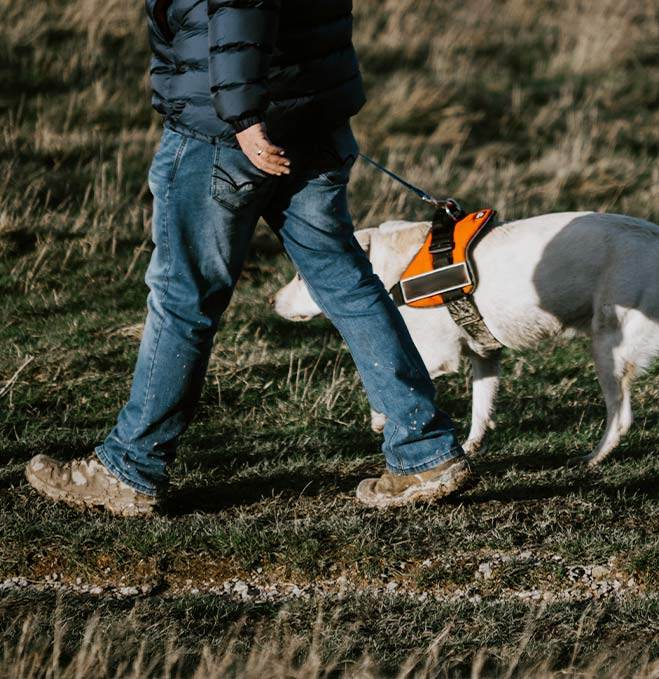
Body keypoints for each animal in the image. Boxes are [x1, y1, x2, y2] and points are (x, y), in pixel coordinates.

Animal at [274, 212, 659, 468]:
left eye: (300, 276)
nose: (271, 301)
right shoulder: (484, 354)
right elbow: (480, 406)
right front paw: (473, 444)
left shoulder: (435, 356)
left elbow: (384, 382)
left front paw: (380, 419)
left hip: (608, 348)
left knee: (620, 417)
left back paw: (592, 458)